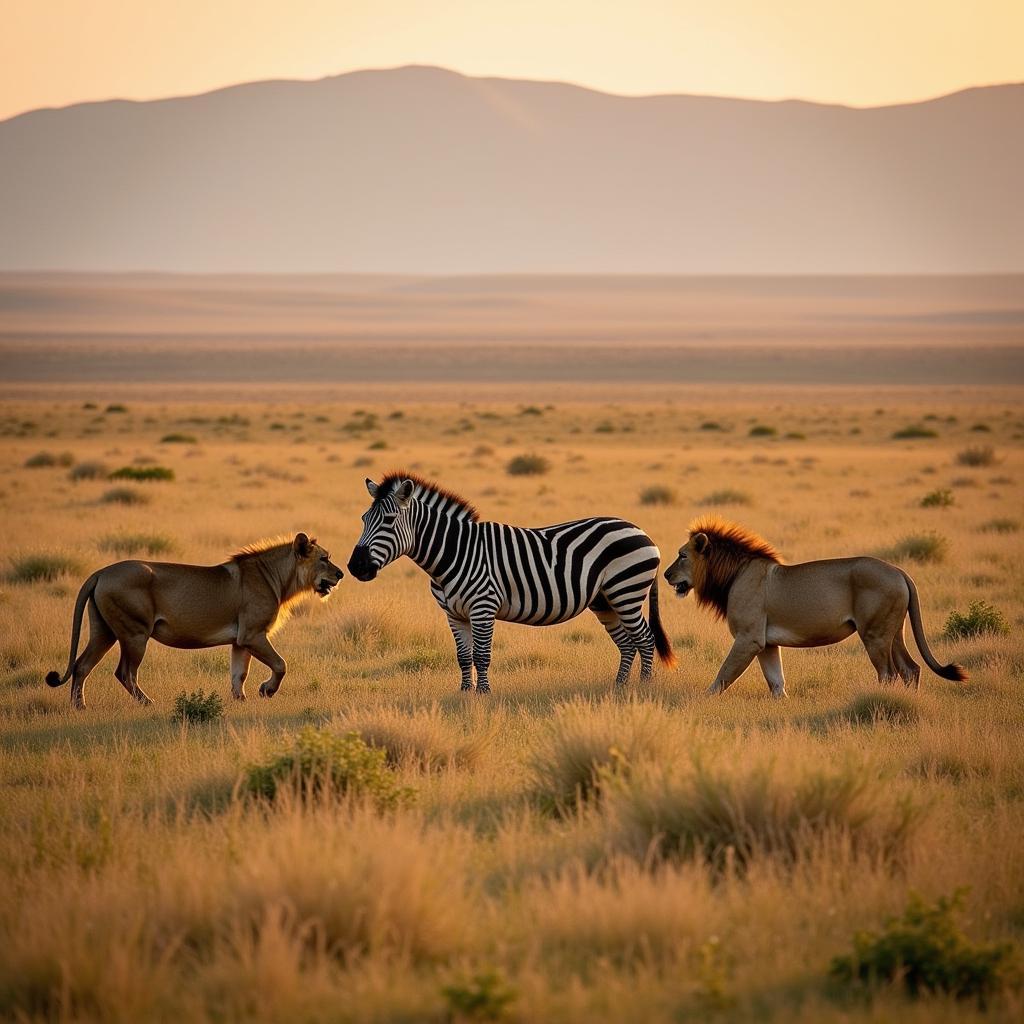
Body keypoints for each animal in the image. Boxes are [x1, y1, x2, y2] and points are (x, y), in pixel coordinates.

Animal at [46, 532, 342, 708]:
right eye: (324, 558)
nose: (341, 574)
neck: (279, 578)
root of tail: (100, 572)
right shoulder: (253, 634)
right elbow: (281, 664)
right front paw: (266, 690)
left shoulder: (240, 640)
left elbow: (238, 674)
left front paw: (240, 701)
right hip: (134, 634)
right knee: (124, 672)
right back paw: (148, 703)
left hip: (104, 632)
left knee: (82, 666)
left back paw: (79, 707)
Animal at [348, 471, 675, 696]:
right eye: (363, 519)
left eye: (389, 520)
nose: (355, 567)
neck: (454, 552)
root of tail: (641, 531)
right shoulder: (454, 614)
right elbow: (463, 656)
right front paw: (464, 694)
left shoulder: (483, 607)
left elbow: (481, 655)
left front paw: (483, 695)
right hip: (605, 601)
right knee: (627, 644)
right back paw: (619, 687)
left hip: (626, 592)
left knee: (645, 639)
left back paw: (644, 687)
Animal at [663, 516, 966, 700]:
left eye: (682, 555)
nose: (665, 575)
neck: (734, 574)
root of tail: (900, 571)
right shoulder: (766, 643)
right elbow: (776, 681)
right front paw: (782, 704)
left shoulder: (749, 639)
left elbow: (723, 675)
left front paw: (702, 700)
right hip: (893, 632)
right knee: (910, 669)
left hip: (875, 635)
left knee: (888, 674)